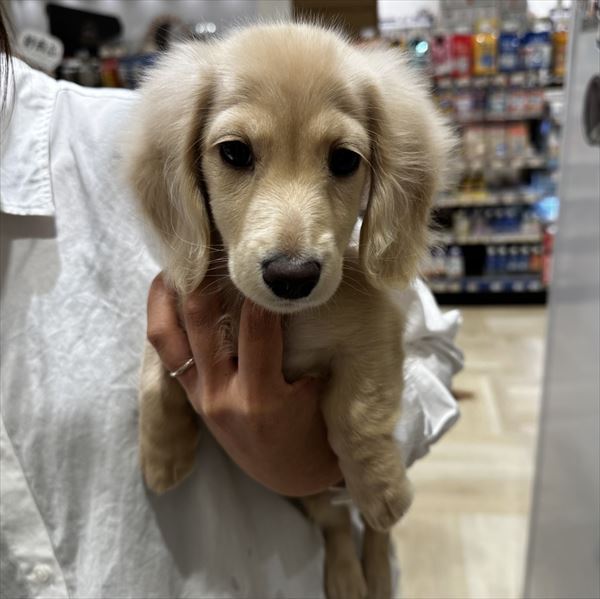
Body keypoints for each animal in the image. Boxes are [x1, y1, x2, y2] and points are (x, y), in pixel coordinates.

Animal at [126, 23, 452, 599]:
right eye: (235, 153)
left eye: (344, 160)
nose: (292, 276)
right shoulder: (173, 303)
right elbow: (151, 371)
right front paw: (163, 453)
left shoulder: (374, 334)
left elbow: (356, 417)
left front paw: (382, 488)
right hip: (303, 495)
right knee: (336, 524)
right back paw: (345, 575)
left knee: (367, 527)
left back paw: (372, 567)